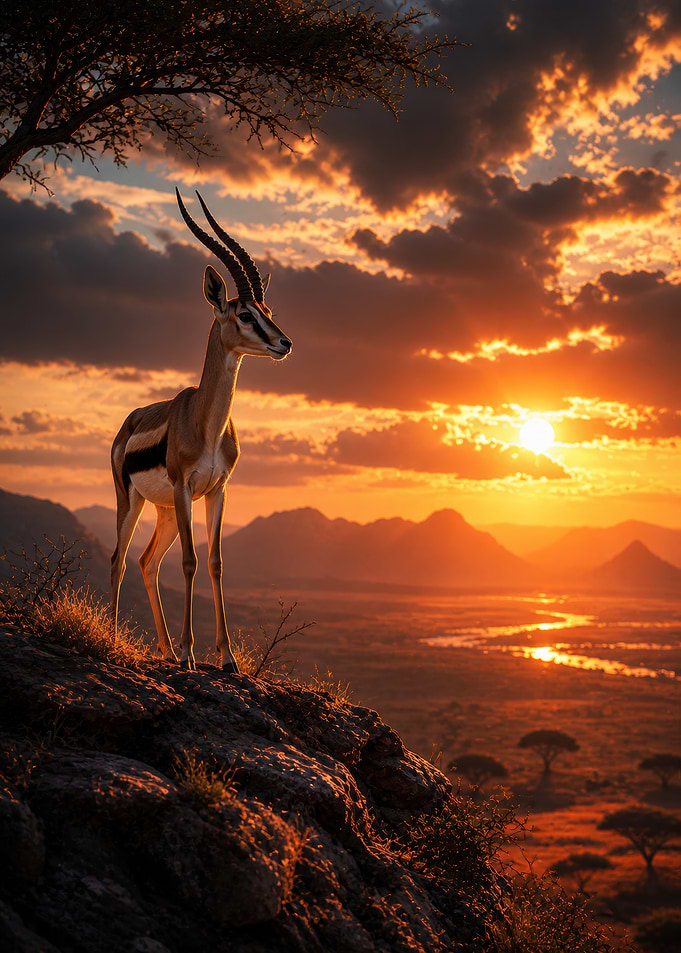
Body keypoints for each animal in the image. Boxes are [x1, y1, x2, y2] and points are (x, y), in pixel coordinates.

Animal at [110, 189, 292, 672]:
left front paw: (227, 658)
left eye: (268, 311)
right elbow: (191, 562)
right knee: (120, 559)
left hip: (167, 511)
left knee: (147, 562)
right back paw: (115, 639)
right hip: (134, 501)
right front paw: (193, 654)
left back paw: (166, 649)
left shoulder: (217, 490)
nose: (284, 343)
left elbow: (215, 562)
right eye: (244, 313)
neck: (204, 423)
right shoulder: (185, 486)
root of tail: (128, 423)